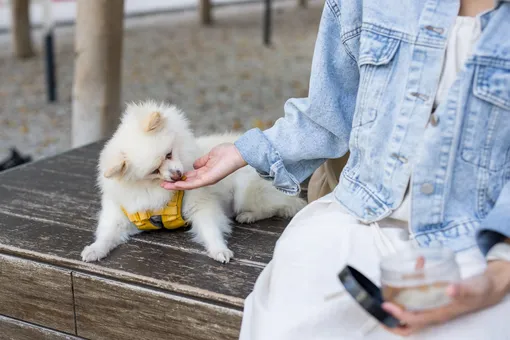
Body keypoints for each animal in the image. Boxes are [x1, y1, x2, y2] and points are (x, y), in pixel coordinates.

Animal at [80, 99, 306, 264]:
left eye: (169, 154)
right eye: (154, 171)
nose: (176, 174)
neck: (153, 190)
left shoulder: (202, 205)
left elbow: (211, 229)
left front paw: (219, 249)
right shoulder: (120, 213)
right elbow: (107, 234)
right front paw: (95, 249)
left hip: (246, 191)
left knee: (281, 206)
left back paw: (249, 215)